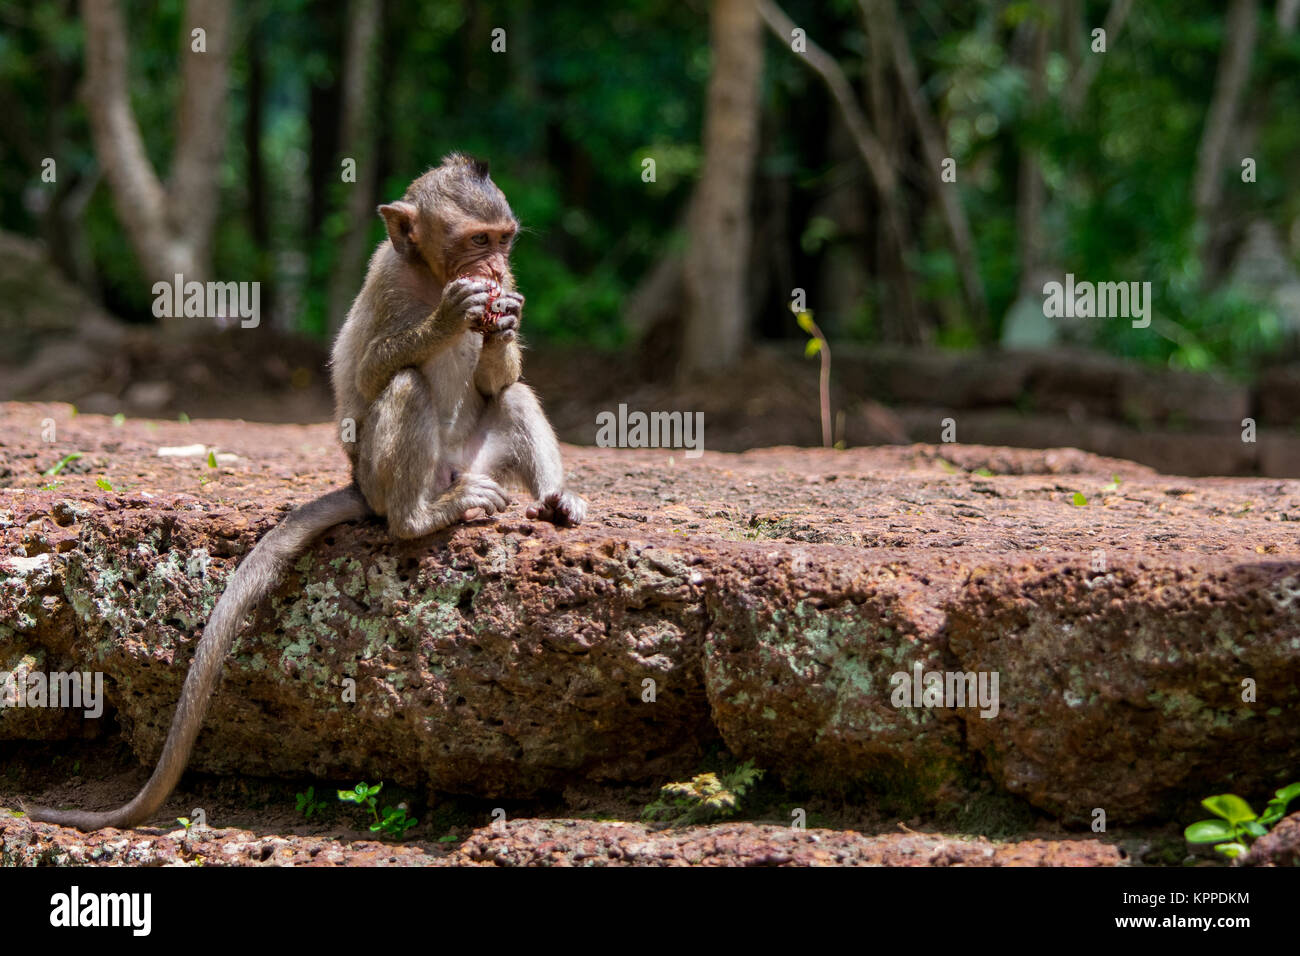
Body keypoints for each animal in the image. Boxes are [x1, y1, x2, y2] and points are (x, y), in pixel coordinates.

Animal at [26, 155, 585, 832]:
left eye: (504, 241)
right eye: (478, 242)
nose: (496, 271)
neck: (429, 277)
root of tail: (369, 488)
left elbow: (497, 380)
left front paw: (505, 321)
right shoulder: (385, 280)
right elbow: (368, 374)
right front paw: (449, 318)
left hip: (479, 461)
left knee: (511, 397)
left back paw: (555, 499)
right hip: (386, 478)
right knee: (405, 386)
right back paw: (421, 518)